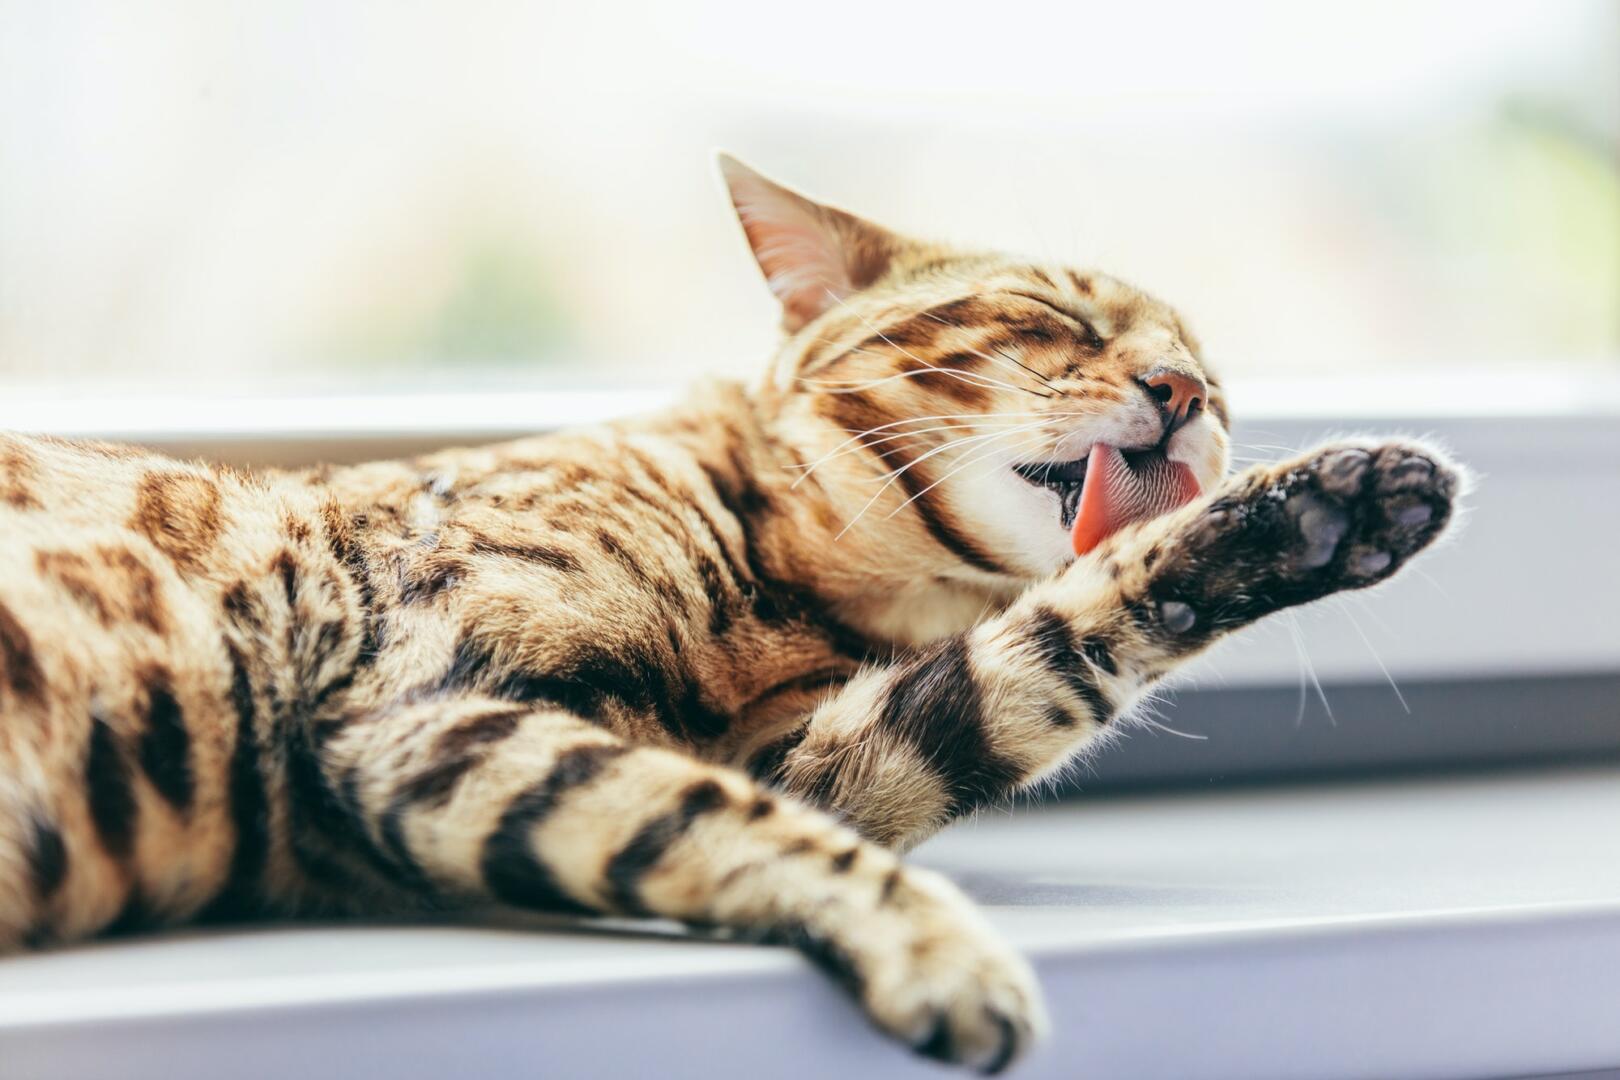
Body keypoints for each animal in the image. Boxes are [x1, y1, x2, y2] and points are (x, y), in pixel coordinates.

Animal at [0, 156, 1464, 1075]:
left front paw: (1320, 509)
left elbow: (1021, 665)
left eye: (1214, 372)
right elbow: (728, 819)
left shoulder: (807, 757)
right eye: (1050, 313)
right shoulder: (420, 708)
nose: (1185, 392)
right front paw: (944, 953)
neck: (782, 585)